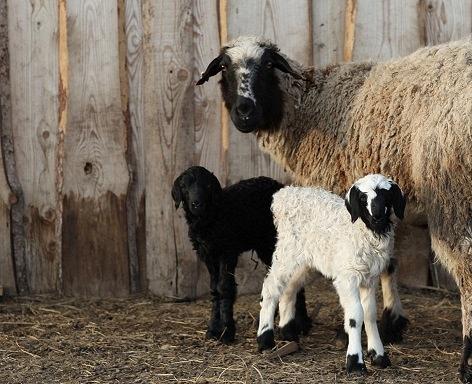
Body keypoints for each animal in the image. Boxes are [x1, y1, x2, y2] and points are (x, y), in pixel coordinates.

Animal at [171, 166, 312, 344]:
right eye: (184, 186)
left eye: (208, 185)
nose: (197, 203)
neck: (213, 216)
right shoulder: (208, 254)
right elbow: (214, 289)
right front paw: (213, 329)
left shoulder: (227, 251)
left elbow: (225, 287)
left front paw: (227, 332)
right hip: (265, 246)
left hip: (273, 242)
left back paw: (300, 324)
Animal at [256, 174, 408, 376]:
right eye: (362, 197)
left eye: (386, 194)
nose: (377, 215)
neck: (364, 230)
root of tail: (285, 195)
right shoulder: (347, 277)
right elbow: (356, 316)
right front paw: (355, 362)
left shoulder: (369, 278)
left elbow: (369, 313)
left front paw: (378, 356)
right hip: (287, 252)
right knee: (271, 288)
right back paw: (265, 339)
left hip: (307, 262)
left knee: (289, 288)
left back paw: (289, 333)